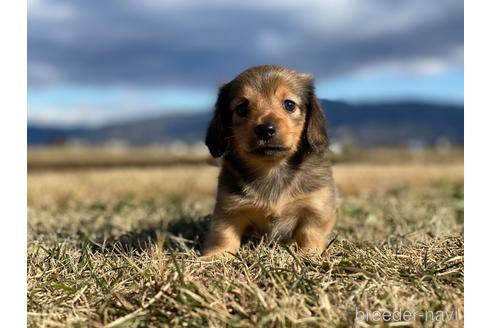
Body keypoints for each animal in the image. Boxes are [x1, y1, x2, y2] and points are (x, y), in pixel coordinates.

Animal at [202, 64, 336, 258]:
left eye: (289, 104)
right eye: (242, 108)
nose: (265, 129)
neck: (272, 169)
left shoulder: (316, 206)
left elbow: (310, 233)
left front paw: (309, 254)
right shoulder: (228, 209)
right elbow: (224, 235)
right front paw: (215, 256)